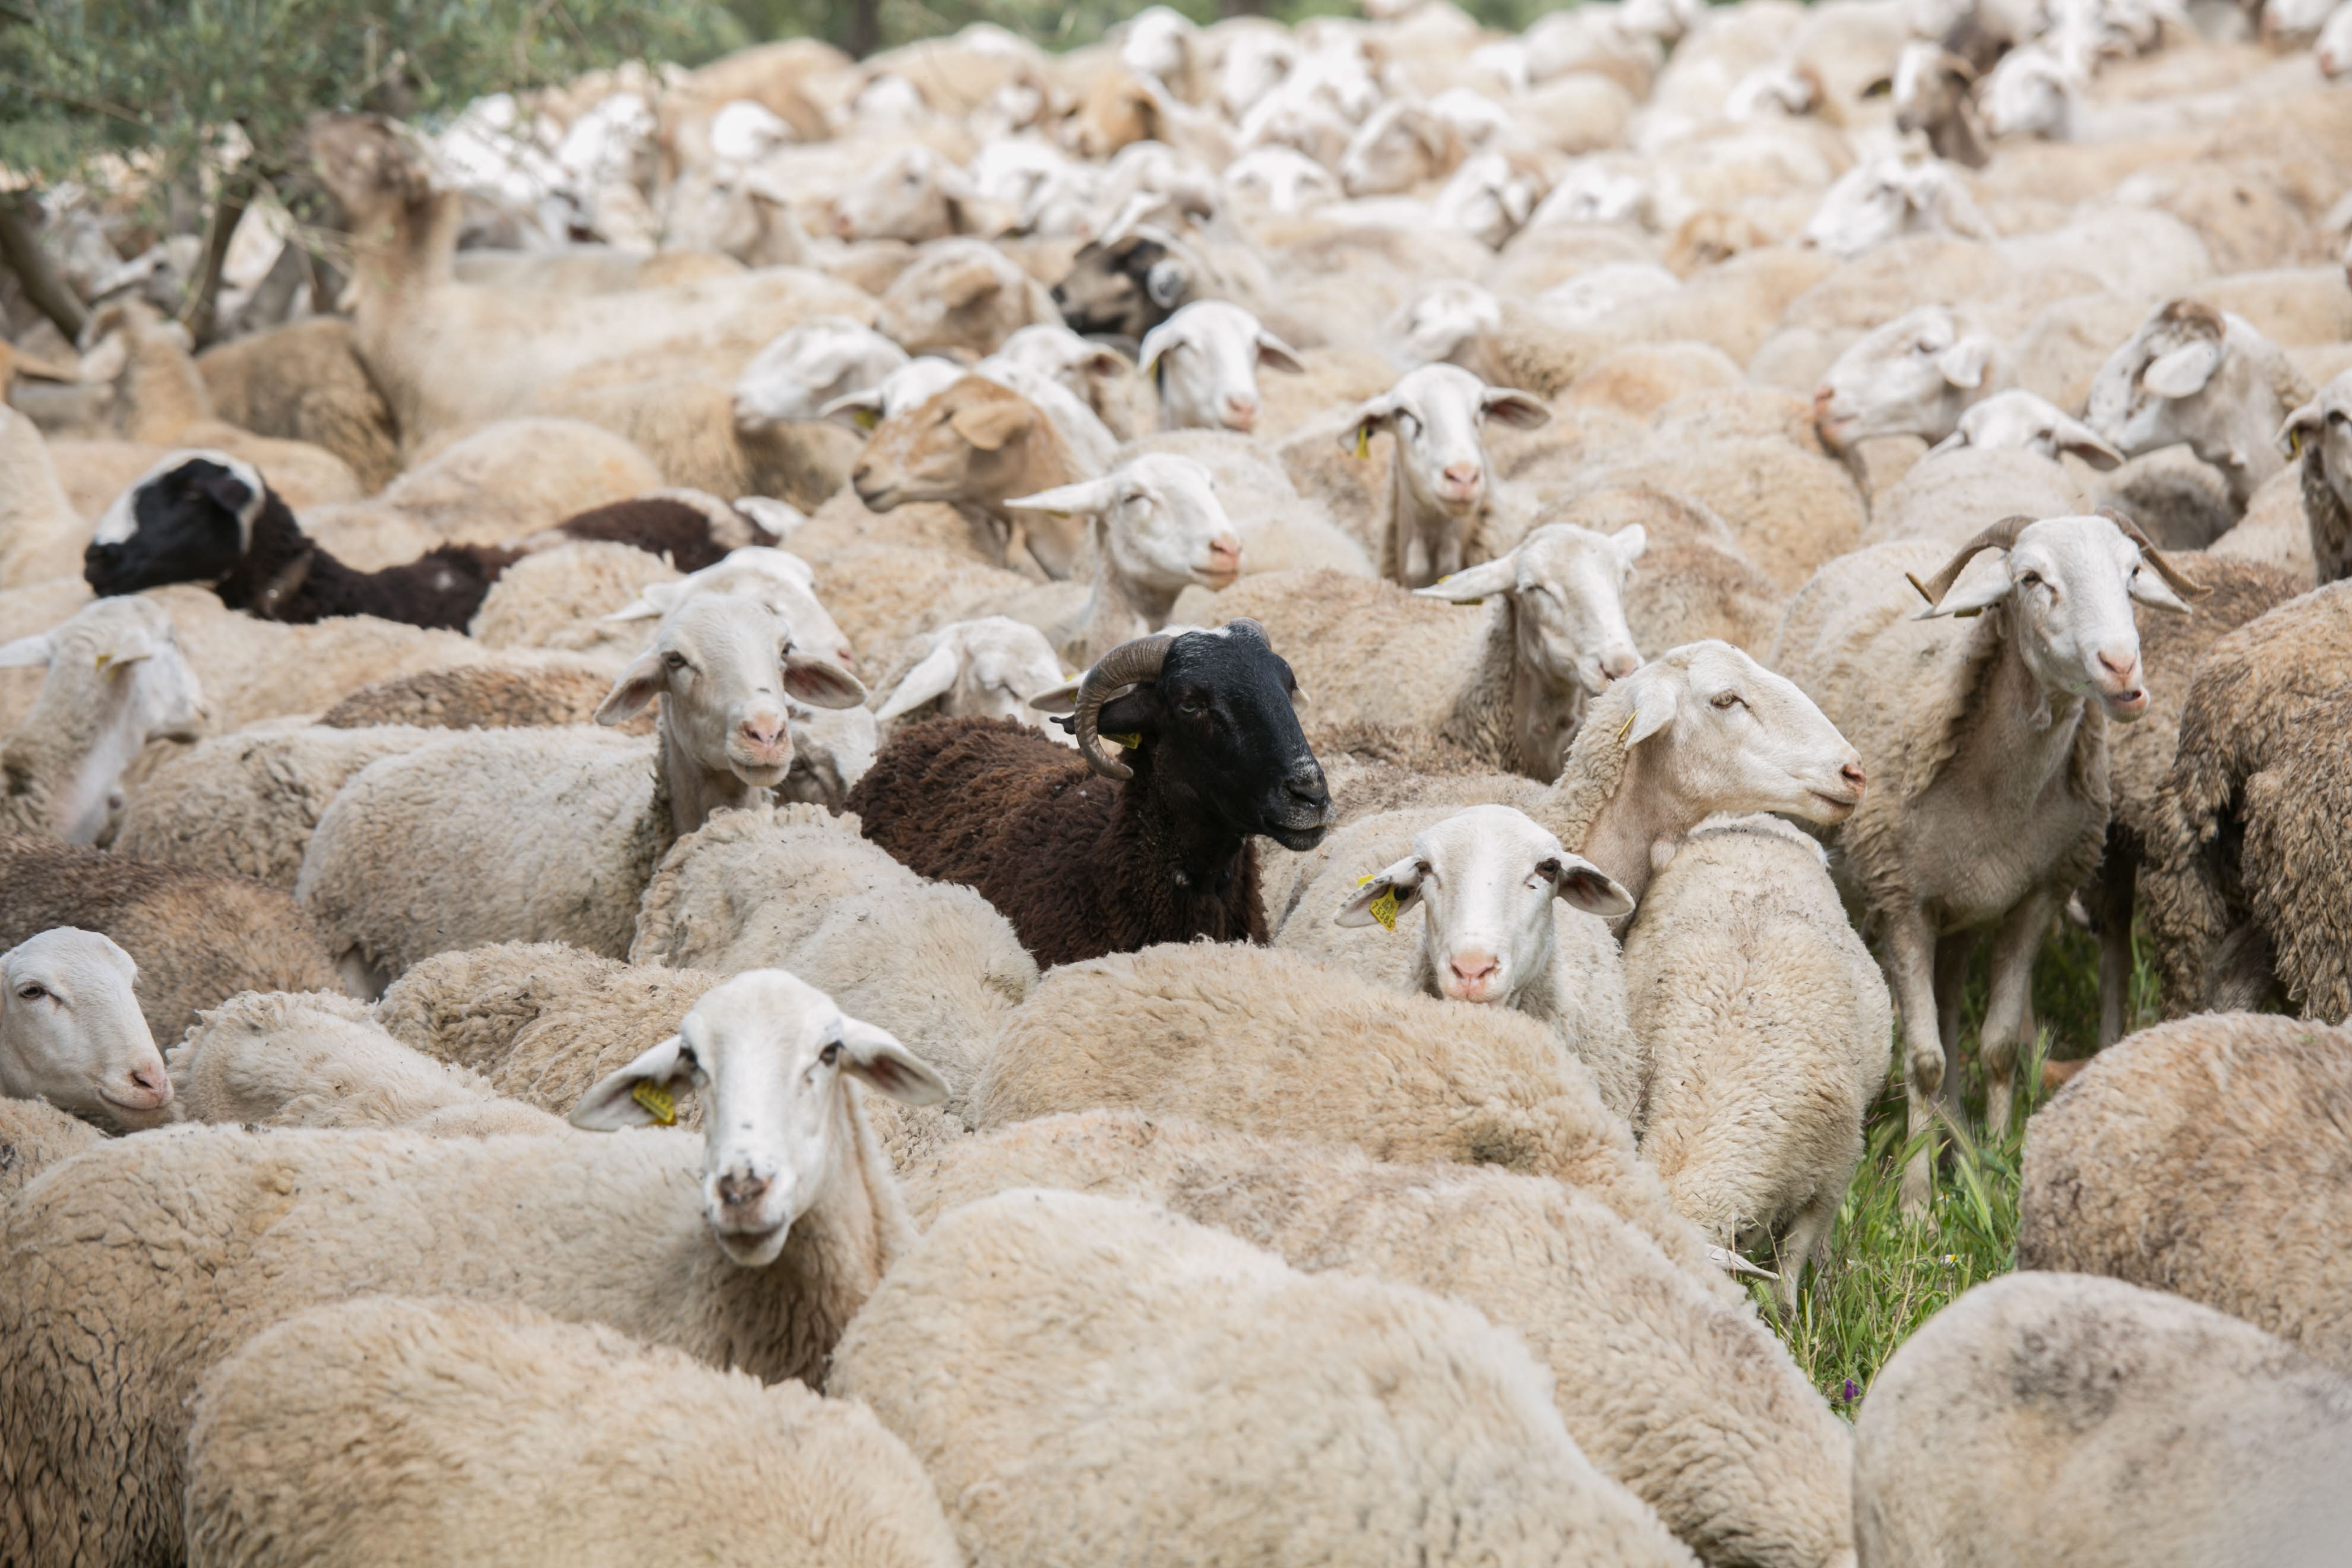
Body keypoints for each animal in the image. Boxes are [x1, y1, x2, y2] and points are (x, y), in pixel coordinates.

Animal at [1772, 514, 2208, 1209]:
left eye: (2133, 572)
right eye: (2030, 579)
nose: (2121, 668)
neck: (2000, 794)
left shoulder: (2035, 898)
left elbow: (1999, 1047)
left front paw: (1998, 1172)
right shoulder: (1902, 905)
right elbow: (1923, 1061)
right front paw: (1917, 1201)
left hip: (1964, 909)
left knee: (1951, 1004)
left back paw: (1958, 1138)